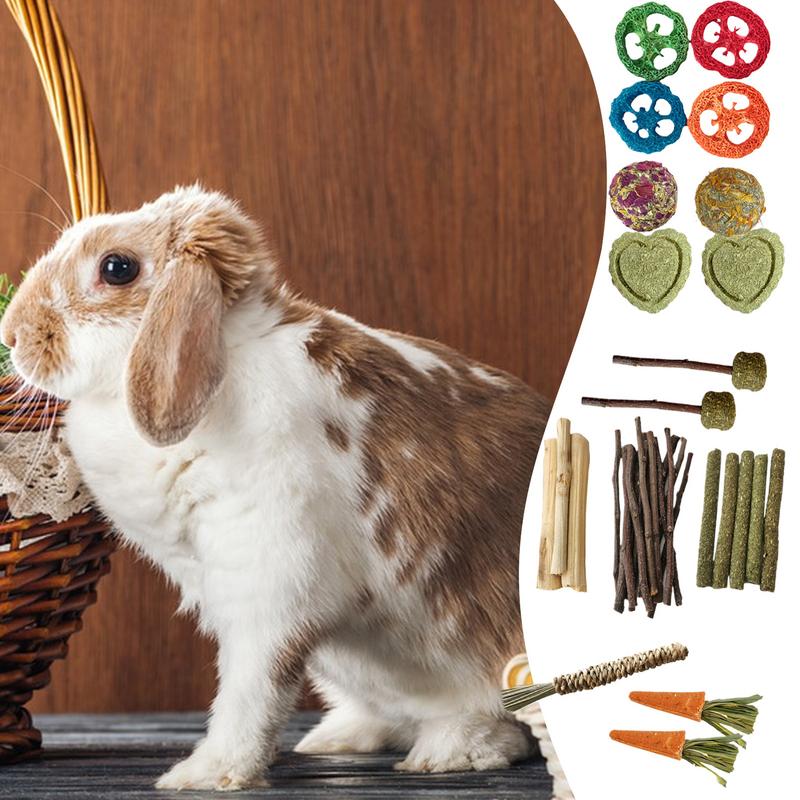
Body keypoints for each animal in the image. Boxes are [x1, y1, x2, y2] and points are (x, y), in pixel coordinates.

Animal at [1, 185, 550, 791]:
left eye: (117, 267)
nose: (12, 333)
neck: (229, 359)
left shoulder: (268, 581)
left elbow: (252, 690)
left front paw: (206, 774)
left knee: (500, 726)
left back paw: (445, 753)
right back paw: (340, 736)